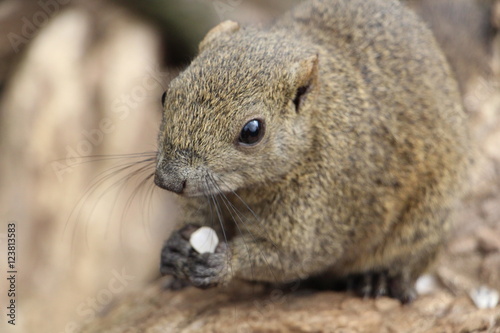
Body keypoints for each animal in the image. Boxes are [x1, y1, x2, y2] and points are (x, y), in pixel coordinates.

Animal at [154, 0, 470, 302]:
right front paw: (174, 249)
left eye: (252, 131)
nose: (169, 180)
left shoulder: (322, 211)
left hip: (425, 221)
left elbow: (291, 257)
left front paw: (225, 262)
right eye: (166, 95)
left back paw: (379, 279)